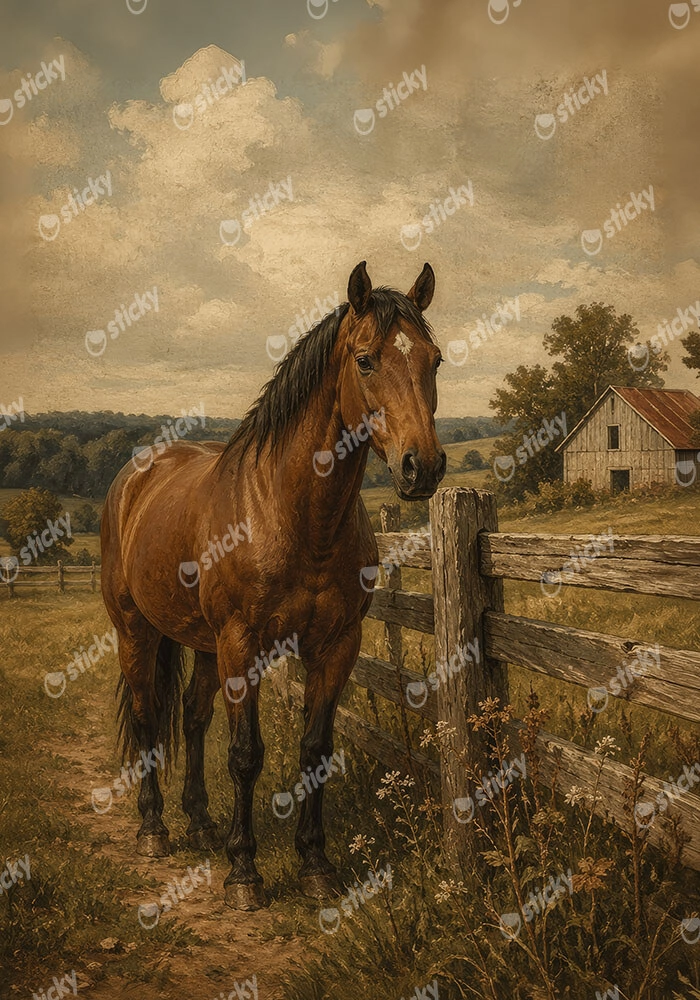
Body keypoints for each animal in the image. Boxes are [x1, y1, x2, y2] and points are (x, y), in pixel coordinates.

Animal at [100, 260, 446, 910]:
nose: (424, 467)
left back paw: (201, 823)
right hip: (138, 631)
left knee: (191, 717)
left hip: (203, 645)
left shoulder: (335, 646)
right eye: (366, 360)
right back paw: (154, 828)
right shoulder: (244, 645)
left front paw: (316, 865)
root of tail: (133, 478)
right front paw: (245, 872)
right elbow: (245, 754)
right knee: (147, 716)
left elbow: (315, 750)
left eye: (434, 360)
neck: (294, 515)